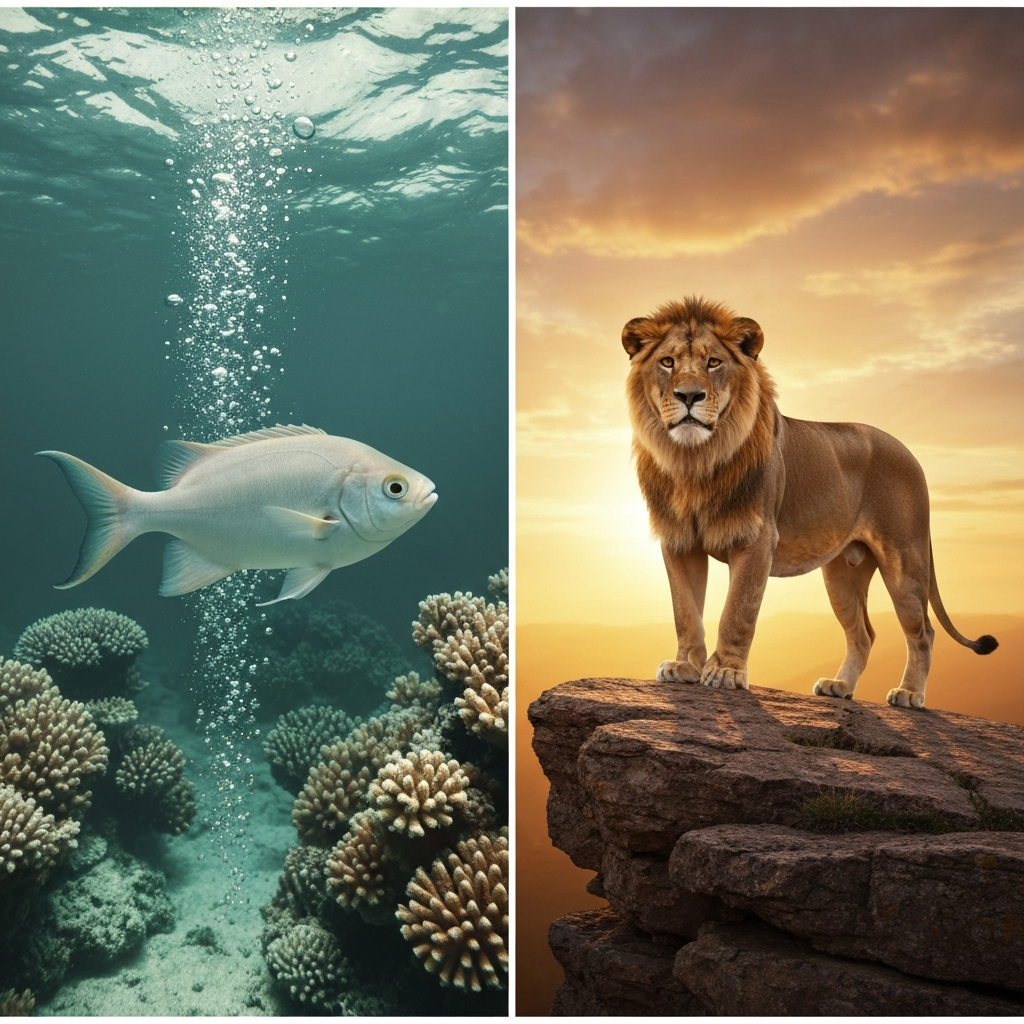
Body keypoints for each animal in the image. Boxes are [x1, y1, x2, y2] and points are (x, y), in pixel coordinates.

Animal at [623, 296, 997, 709]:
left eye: (714, 362)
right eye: (667, 362)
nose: (688, 396)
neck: (693, 461)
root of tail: (909, 453)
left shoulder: (757, 539)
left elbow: (738, 609)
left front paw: (725, 672)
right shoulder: (679, 542)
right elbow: (685, 611)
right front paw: (685, 667)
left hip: (904, 560)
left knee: (923, 631)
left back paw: (910, 693)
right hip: (843, 574)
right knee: (863, 634)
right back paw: (840, 686)